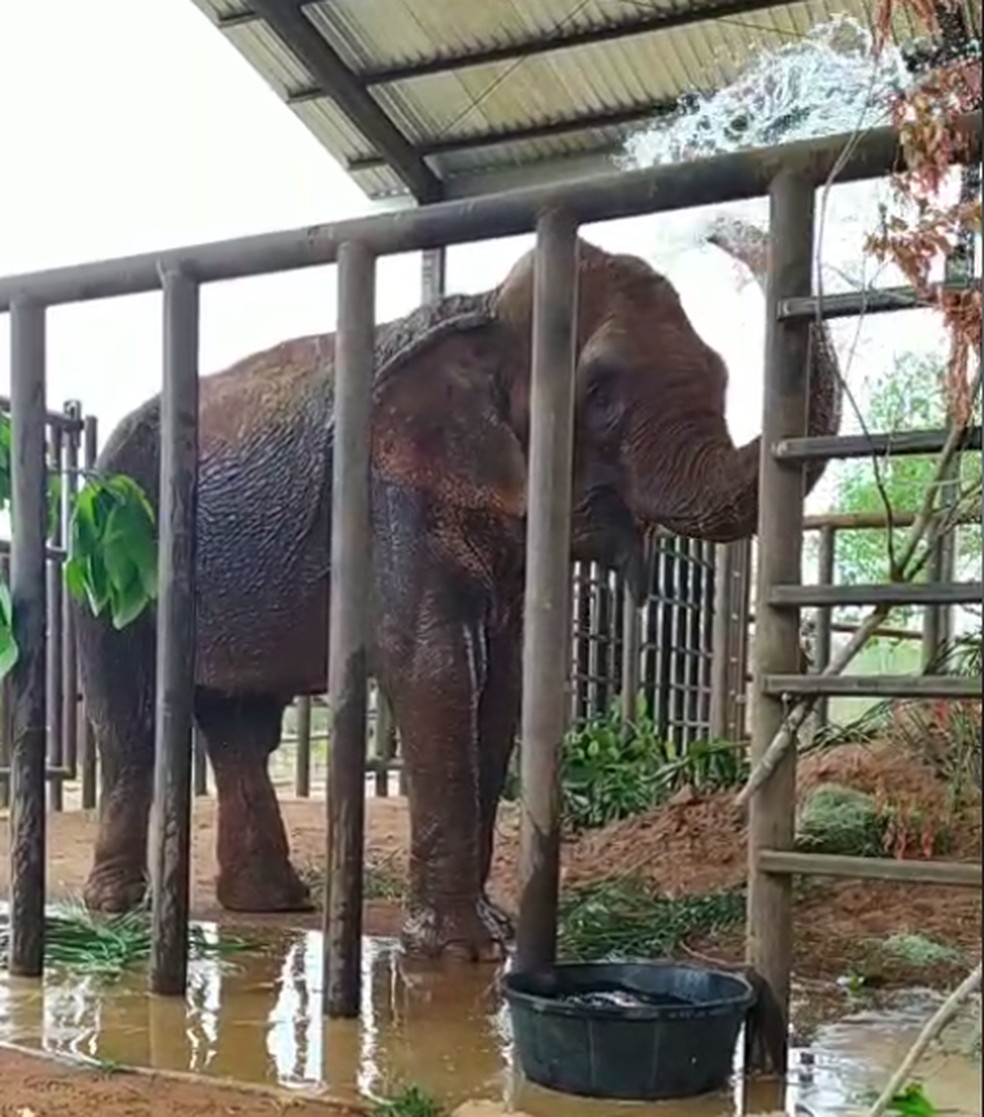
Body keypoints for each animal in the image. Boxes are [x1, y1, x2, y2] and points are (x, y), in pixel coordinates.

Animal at [77, 233, 839, 960]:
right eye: (599, 394)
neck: (487, 307)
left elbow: (501, 681)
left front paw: (496, 931)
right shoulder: (390, 485)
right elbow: (435, 664)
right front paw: (461, 950)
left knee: (242, 725)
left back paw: (270, 903)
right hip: (108, 552)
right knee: (130, 714)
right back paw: (116, 907)